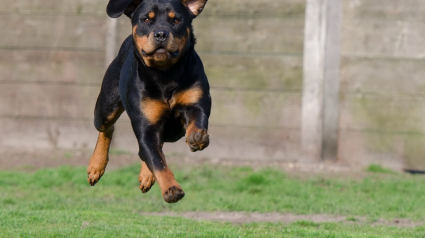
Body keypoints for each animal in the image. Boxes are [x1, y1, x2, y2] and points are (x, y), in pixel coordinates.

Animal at [86, 0, 210, 203]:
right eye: (146, 19)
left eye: (176, 19)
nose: (161, 34)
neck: (166, 74)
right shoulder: (145, 125)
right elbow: (157, 161)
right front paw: (171, 189)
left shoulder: (196, 100)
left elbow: (197, 117)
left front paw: (197, 136)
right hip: (105, 107)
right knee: (107, 128)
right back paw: (96, 166)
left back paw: (146, 175)